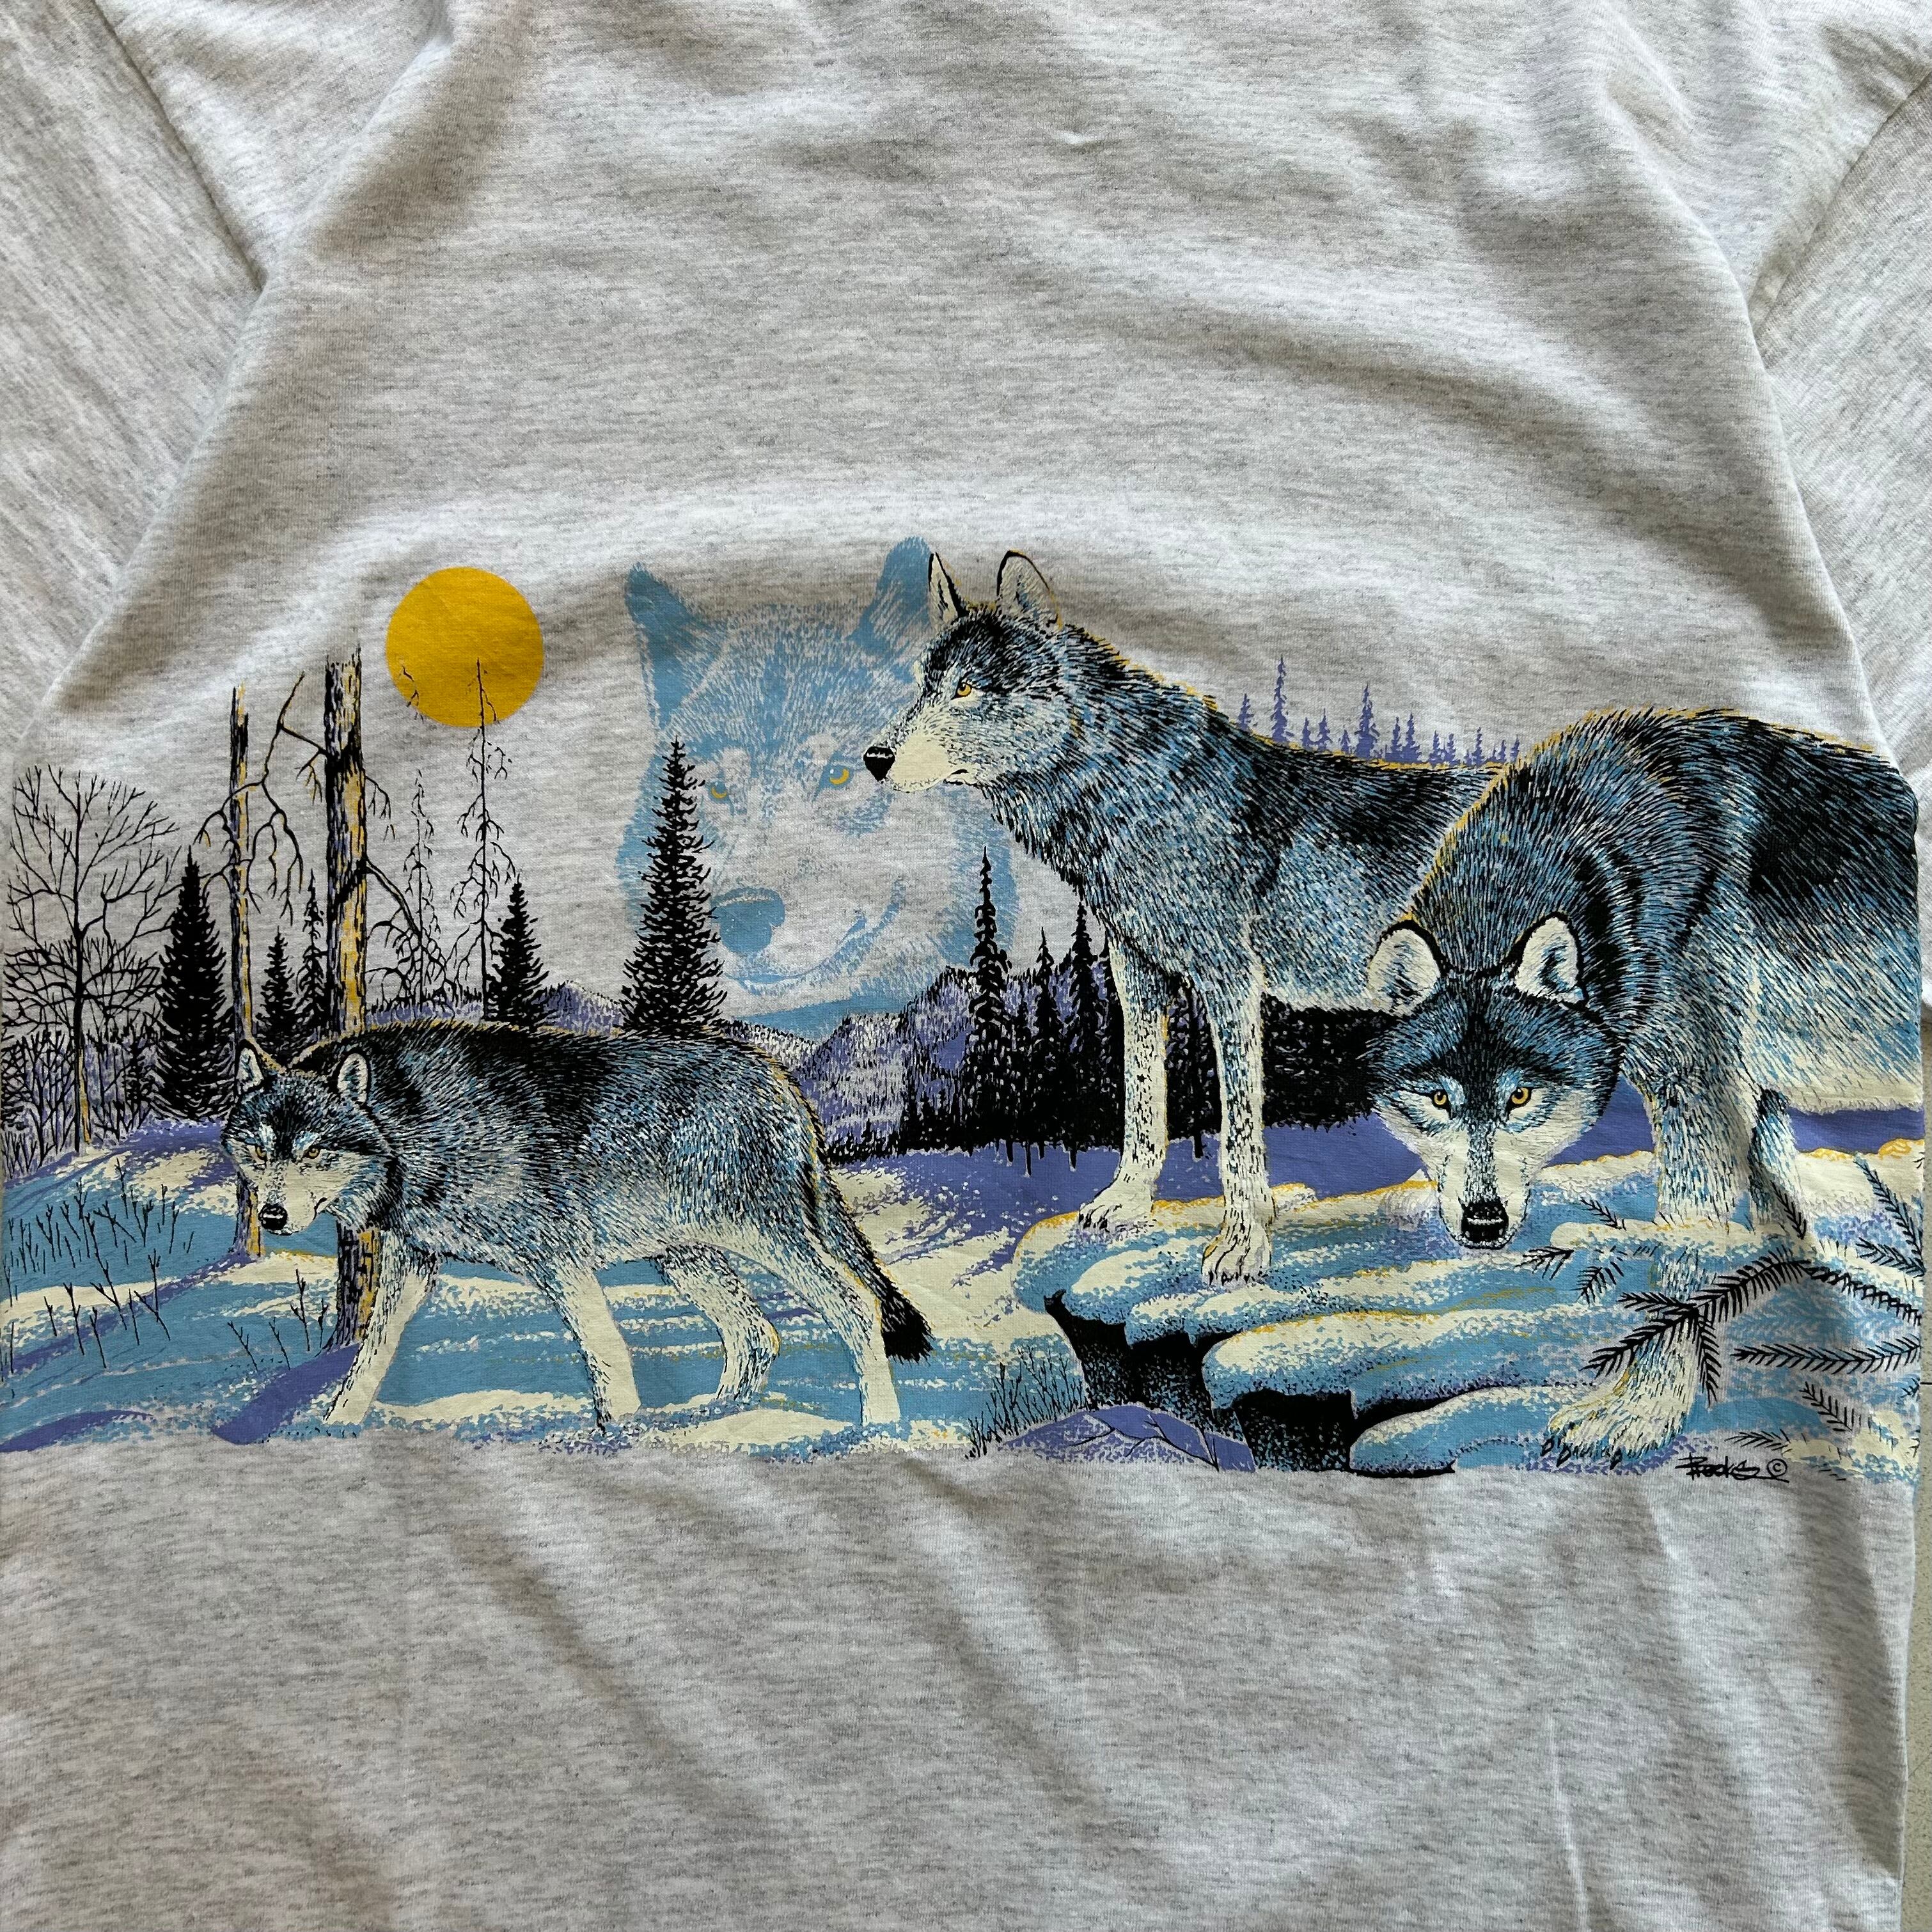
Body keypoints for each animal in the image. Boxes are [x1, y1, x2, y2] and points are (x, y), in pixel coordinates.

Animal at [222, 1023, 931, 1431]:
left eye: (313, 1151)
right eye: (257, 1148)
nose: (272, 1216)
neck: (418, 1130)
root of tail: (782, 1081)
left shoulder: (557, 1258)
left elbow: (606, 1352)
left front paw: (614, 1434)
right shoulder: (414, 1263)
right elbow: (372, 1354)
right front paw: (337, 1424)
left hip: (762, 1241)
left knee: (856, 1306)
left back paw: (881, 1426)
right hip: (687, 1260)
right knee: (758, 1334)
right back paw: (710, 1415)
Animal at [865, 550, 1488, 1280]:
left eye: (967, 690)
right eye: (925, 689)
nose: (874, 758)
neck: (1128, 796)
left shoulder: (1230, 983)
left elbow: (1238, 1140)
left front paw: (1243, 1245)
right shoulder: (1135, 975)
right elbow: (1141, 1105)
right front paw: (1126, 1204)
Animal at [1359, 706, 1922, 1456]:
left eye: (1520, 1096)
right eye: (1437, 1099)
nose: (1484, 1223)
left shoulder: (1702, 1099)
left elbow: (1682, 1260)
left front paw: (1638, 1412)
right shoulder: (1752, 1103)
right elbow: (1776, 1231)